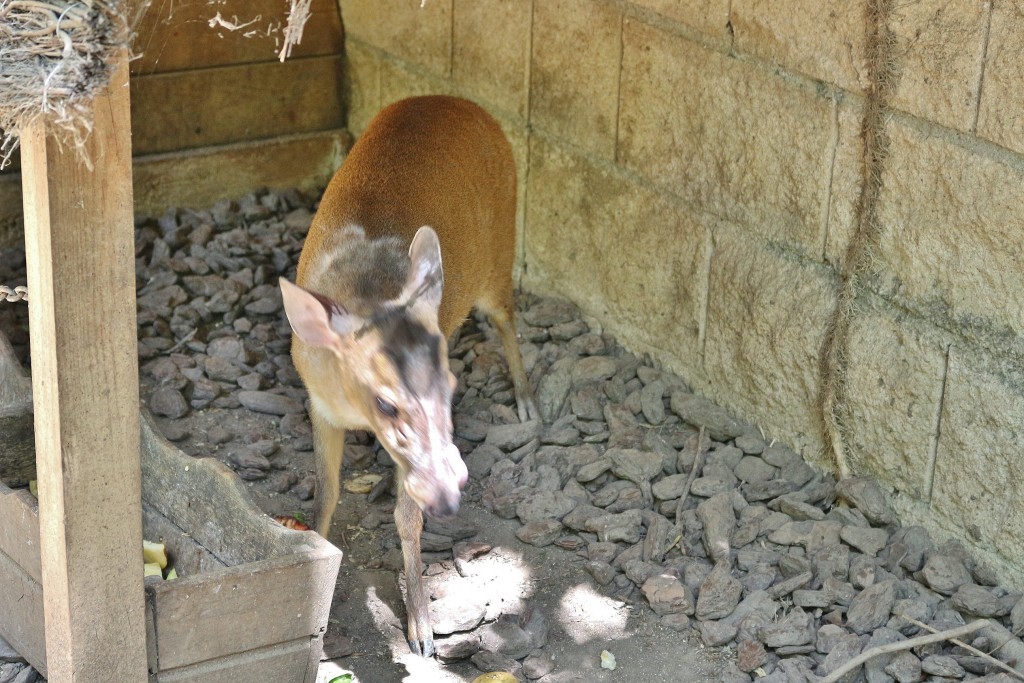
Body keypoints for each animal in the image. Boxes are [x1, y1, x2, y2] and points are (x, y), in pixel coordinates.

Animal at [276, 96, 540, 655]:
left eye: (450, 391)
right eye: (385, 401)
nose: (449, 490)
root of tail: (465, 103)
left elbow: (406, 517)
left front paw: (421, 627)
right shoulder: (317, 402)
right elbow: (326, 490)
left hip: (500, 243)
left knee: (506, 315)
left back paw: (527, 399)